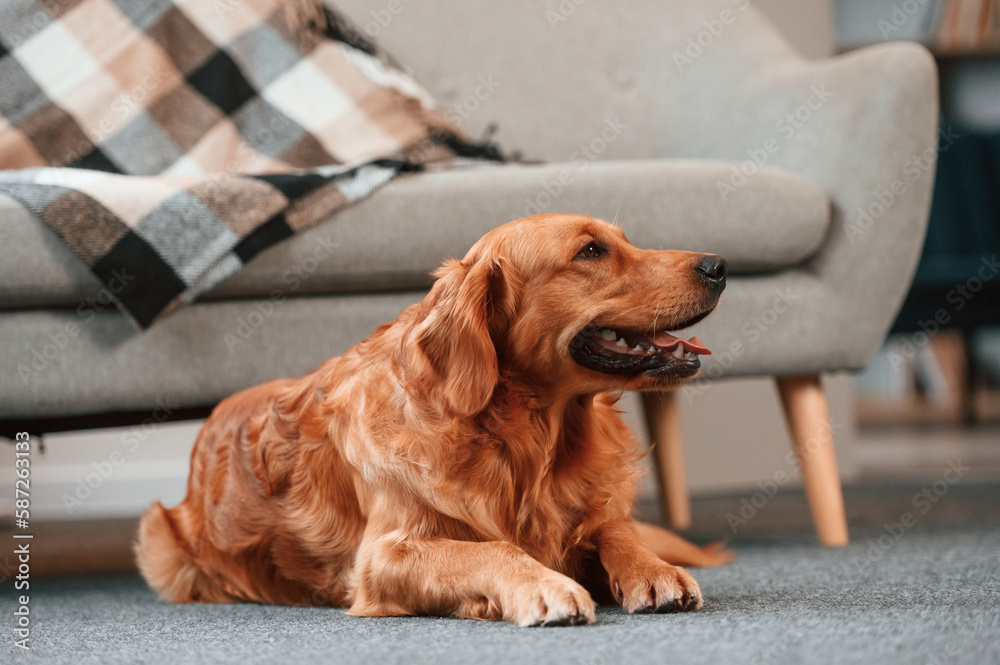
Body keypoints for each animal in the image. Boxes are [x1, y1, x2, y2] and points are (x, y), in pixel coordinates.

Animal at [135, 215, 728, 624]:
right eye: (590, 250)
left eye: (624, 240)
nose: (718, 266)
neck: (520, 437)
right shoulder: (381, 557)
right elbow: (494, 548)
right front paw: (542, 585)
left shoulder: (594, 503)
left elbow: (615, 528)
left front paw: (653, 570)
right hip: (161, 539)